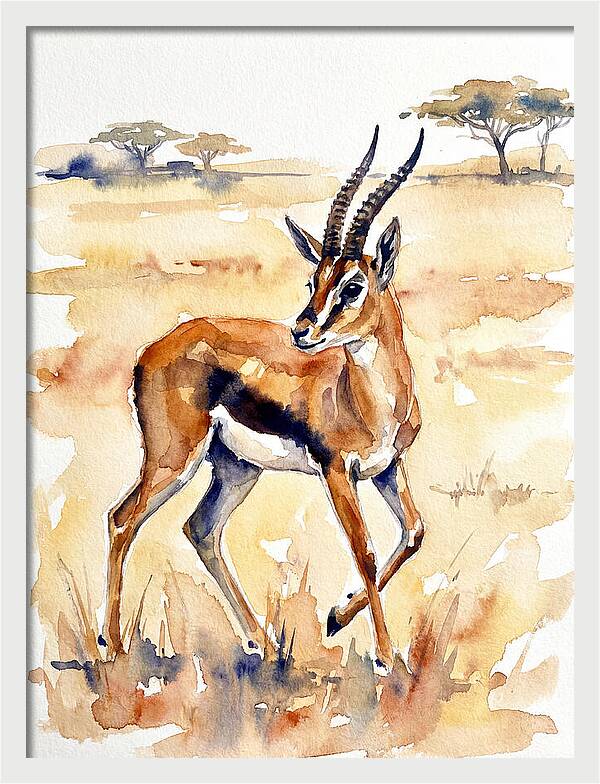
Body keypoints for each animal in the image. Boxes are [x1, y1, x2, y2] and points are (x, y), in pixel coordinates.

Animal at [104, 126, 426, 670]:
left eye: (352, 285)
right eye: (314, 279)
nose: (301, 331)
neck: (371, 400)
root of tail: (152, 349)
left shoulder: (387, 467)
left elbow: (414, 533)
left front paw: (336, 617)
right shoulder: (337, 471)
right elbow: (365, 550)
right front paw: (385, 656)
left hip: (236, 467)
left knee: (201, 529)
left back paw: (264, 642)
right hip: (173, 457)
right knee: (122, 520)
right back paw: (111, 646)